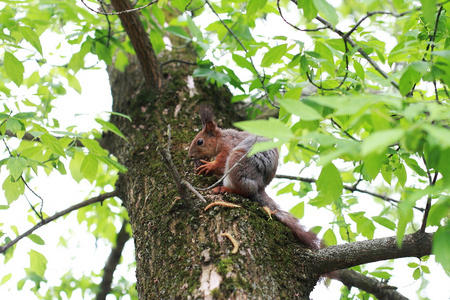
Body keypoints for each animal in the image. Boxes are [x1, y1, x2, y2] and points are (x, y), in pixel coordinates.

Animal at [188, 106, 322, 250]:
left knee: (246, 191)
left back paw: (225, 189)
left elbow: (220, 163)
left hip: (238, 163)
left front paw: (209, 166)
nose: (190, 155)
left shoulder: (229, 146)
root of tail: (260, 187)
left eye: (200, 142)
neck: (222, 138)